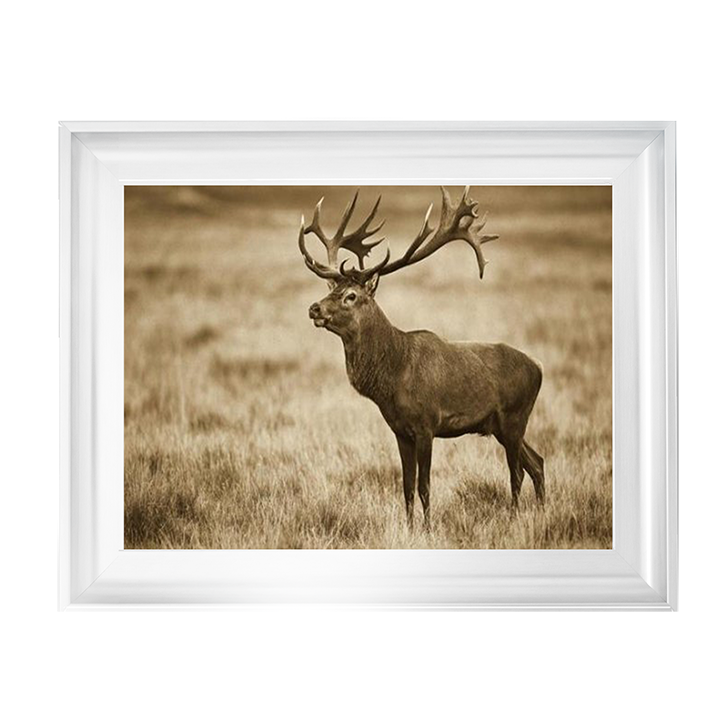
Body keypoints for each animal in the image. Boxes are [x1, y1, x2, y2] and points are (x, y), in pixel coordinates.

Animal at [299, 187, 545, 530]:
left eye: (351, 296)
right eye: (331, 288)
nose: (314, 308)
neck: (392, 377)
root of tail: (539, 369)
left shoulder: (427, 424)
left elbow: (425, 485)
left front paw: (427, 530)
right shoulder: (400, 431)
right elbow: (406, 486)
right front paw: (409, 526)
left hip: (514, 417)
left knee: (518, 472)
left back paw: (514, 517)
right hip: (501, 425)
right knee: (538, 462)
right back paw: (543, 512)